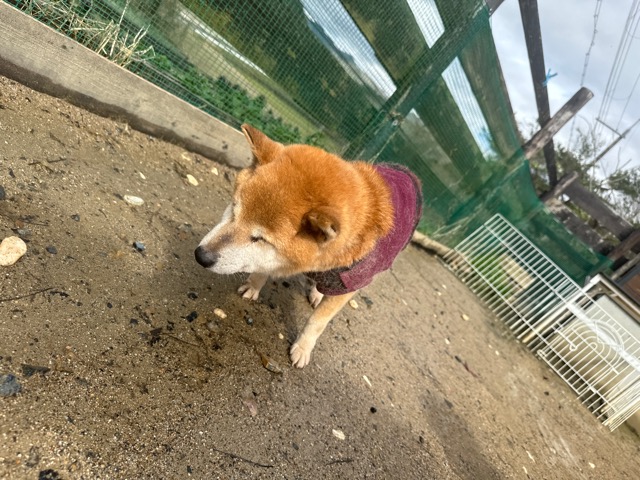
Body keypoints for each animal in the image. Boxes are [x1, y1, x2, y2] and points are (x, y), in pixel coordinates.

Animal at [195, 124, 422, 368]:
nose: (201, 255)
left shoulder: (347, 284)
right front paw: (253, 286)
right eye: (234, 210)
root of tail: (408, 173)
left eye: (260, 238)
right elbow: (262, 268)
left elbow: (317, 322)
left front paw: (303, 348)